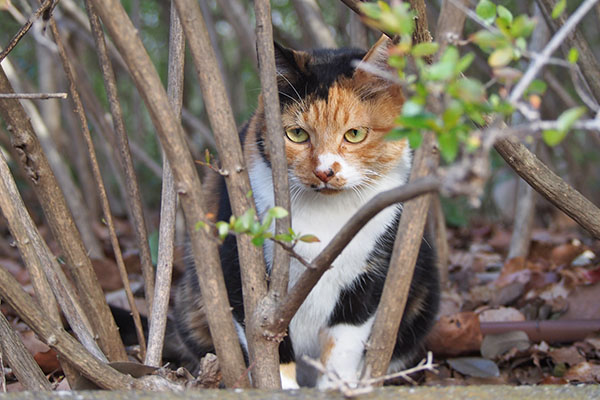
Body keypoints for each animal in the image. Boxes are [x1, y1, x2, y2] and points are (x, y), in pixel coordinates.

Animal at [171, 36, 438, 388]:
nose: (325, 171)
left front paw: (336, 387)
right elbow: (268, 335)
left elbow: (345, 339)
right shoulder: (237, 265)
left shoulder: (373, 271)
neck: (327, 215)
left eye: (355, 134)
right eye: (296, 134)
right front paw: (283, 388)